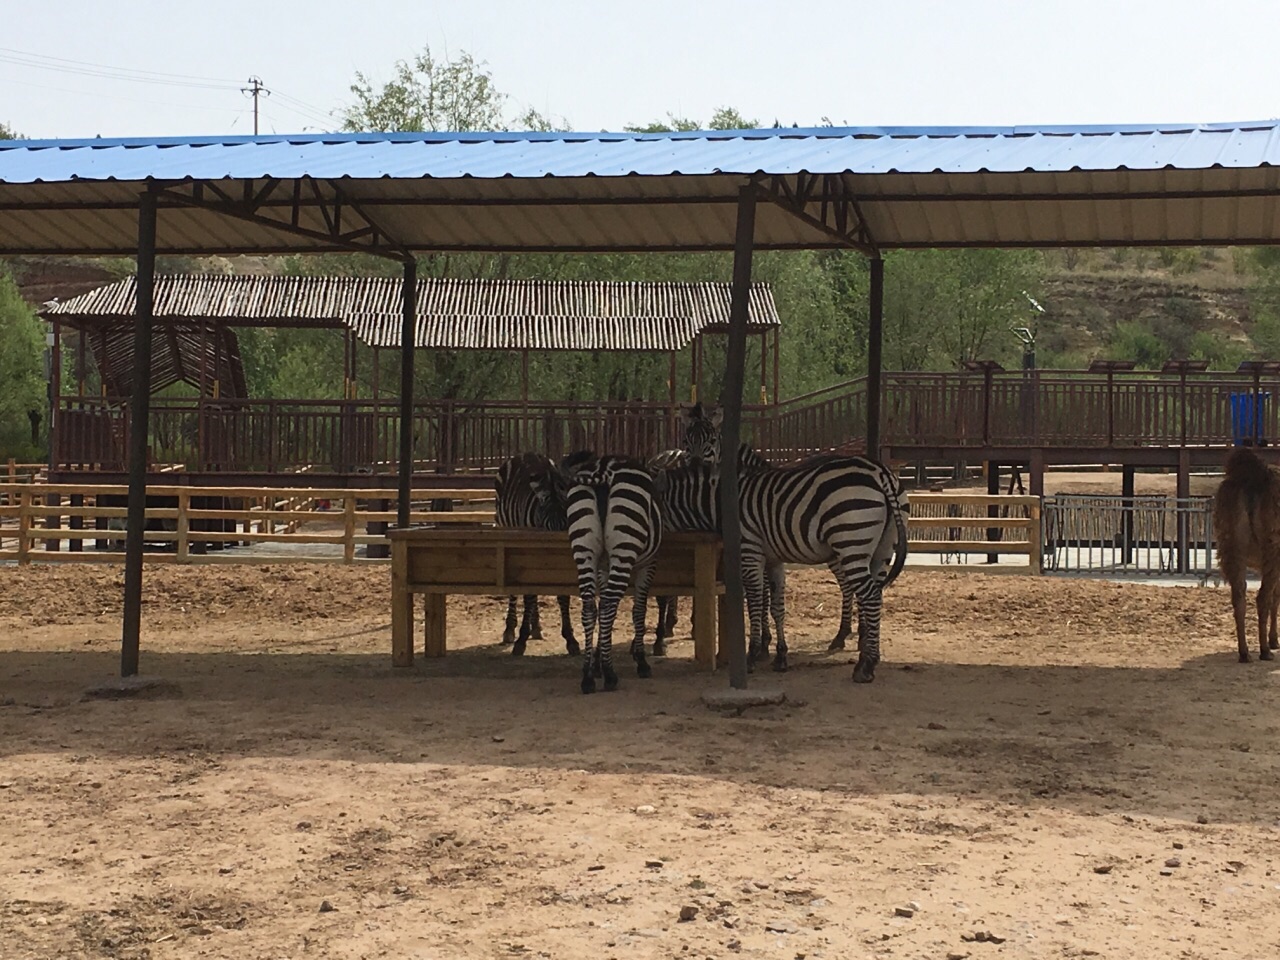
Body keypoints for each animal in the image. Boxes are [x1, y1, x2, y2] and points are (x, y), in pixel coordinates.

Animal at [494, 455, 581, 660]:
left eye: (564, 530)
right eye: (544, 531)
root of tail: (524, 454)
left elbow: (562, 596)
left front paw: (570, 639)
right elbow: (529, 595)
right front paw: (521, 639)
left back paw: (536, 626)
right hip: (505, 530)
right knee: (516, 593)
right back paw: (510, 629)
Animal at [560, 450, 665, 691]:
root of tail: (603, 468)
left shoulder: (602, 566)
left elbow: (602, 609)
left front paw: (595, 662)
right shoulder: (648, 564)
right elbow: (638, 610)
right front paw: (641, 661)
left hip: (584, 550)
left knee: (590, 608)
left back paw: (588, 678)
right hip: (624, 547)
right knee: (608, 605)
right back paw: (610, 675)